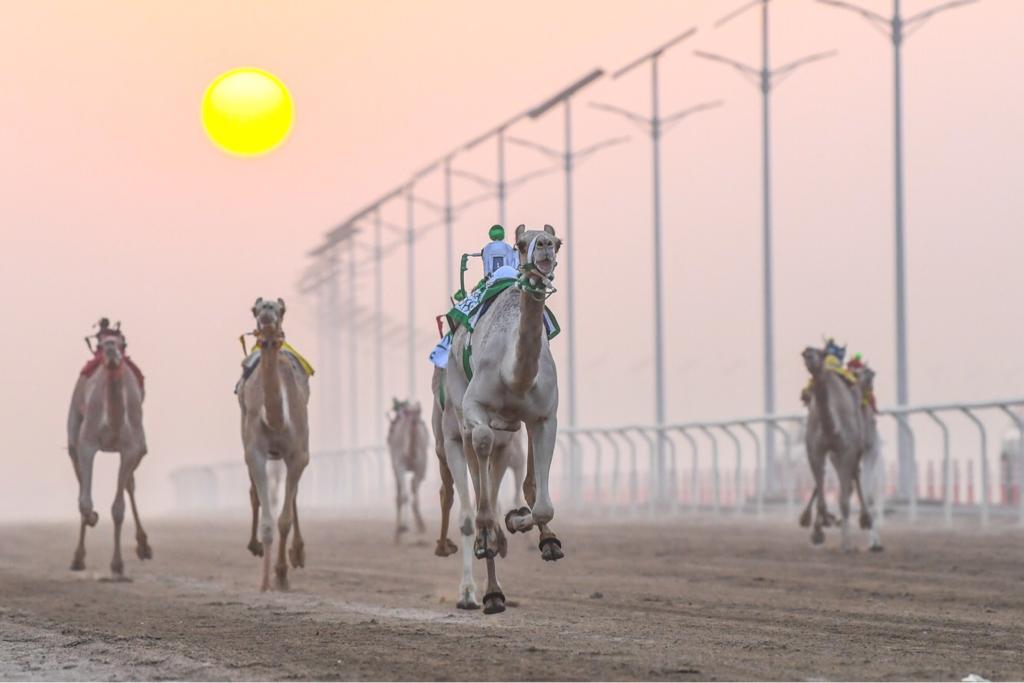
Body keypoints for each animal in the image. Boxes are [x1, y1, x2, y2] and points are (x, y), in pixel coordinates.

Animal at [67, 319, 151, 577]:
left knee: (130, 486)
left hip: (139, 448)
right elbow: (84, 502)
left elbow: (118, 508)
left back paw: (144, 547)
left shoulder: (131, 449)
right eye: (101, 345)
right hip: (73, 430)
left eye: (122, 343)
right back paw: (78, 558)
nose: (112, 351)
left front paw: (117, 565)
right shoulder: (87, 444)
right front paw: (93, 517)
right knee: (79, 476)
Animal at [385, 397, 430, 540]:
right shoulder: (399, 464)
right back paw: (397, 534)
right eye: (408, 412)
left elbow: (414, 490)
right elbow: (405, 496)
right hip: (394, 465)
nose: (415, 420)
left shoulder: (421, 467)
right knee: (399, 496)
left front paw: (421, 528)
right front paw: (404, 527)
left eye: (419, 410)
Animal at [794, 348, 868, 548]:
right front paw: (821, 526)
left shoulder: (848, 449)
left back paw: (865, 519)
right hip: (833, 455)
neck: (831, 430)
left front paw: (847, 543)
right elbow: (821, 494)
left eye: (820, 353)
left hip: (856, 446)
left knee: (854, 478)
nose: (808, 355)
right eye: (806, 352)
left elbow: (844, 500)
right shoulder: (814, 450)